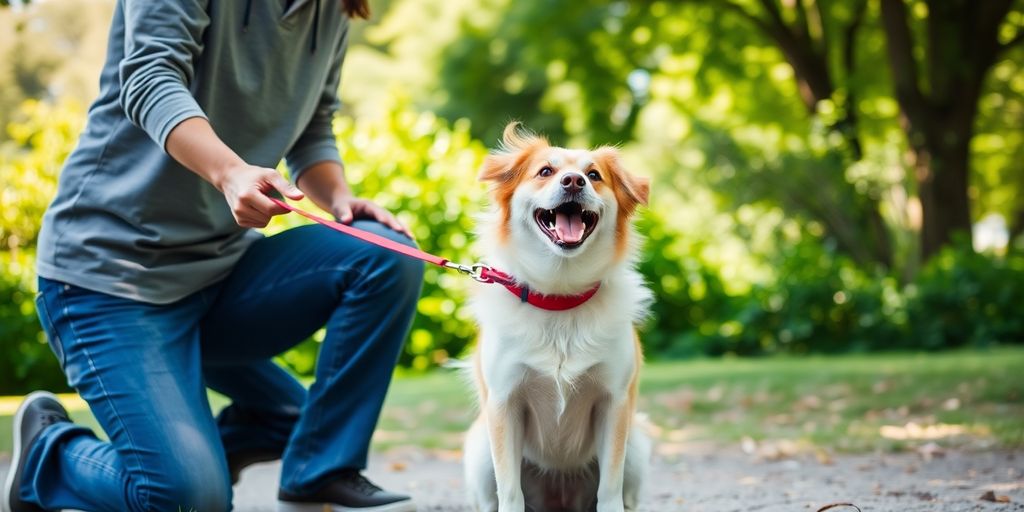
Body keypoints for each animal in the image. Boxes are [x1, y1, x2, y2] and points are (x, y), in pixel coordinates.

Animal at [462, 123, 651, 512]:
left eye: (594, 175)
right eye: (545, 171)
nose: (573, 181)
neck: (560, 299)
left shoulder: (614, 404)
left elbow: (610, 489)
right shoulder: (504, 404)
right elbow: (510, 491)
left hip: (638, 446)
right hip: (479, 451)